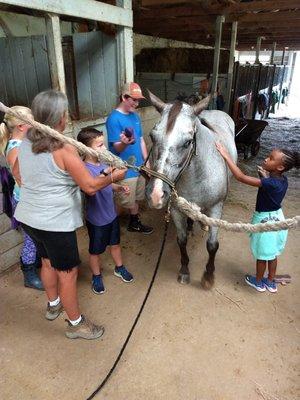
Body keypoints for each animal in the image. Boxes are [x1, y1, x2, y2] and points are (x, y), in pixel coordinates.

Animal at [145, 92, 237, 290]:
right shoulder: (176, 209)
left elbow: (212, 245)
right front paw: (184, 271)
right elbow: (181, 240)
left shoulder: (216, 208)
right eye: (152, 136)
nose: (155, 194)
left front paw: (208, 276)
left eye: (188, 142)